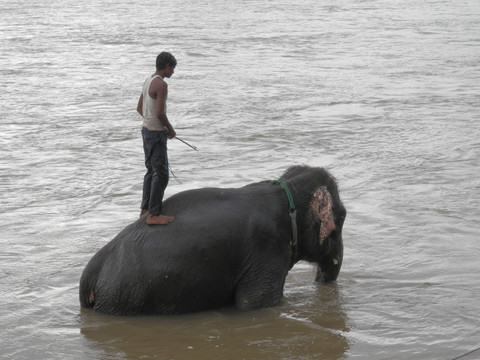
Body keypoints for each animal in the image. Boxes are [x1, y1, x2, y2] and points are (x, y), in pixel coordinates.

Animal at [80, 166, 346, 316]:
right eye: (342, 216)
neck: (285, 192)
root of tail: (89, 277)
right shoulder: (266, 250)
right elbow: (254, 303)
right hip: (130, 296)